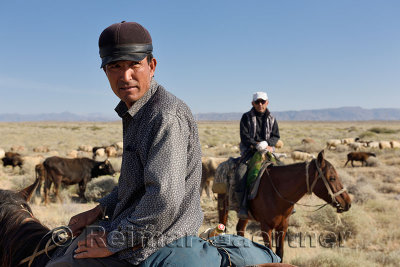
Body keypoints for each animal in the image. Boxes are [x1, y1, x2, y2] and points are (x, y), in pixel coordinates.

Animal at [217, 151, 352, 262]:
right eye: (332, 178)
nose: (348, 203)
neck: (276, 192)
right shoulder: (266, 227)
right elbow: (270, 252)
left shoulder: (283, 226)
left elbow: (280, 254)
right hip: (223, 206)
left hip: (245, 215)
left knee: (240, 229)